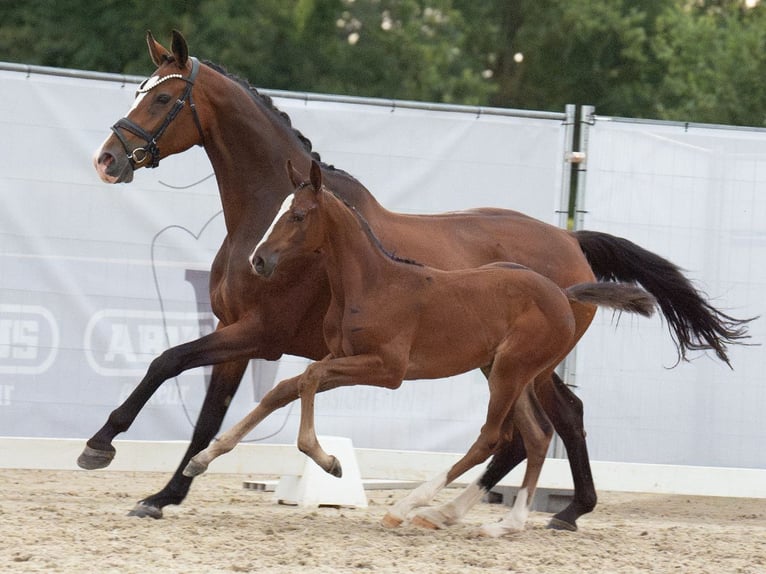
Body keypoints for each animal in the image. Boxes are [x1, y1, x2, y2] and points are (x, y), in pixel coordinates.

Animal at [183, 160, 656, 536]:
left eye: (298, 215)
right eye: (280, 211)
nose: (258, 261)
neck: (372, 282)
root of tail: (563, 292)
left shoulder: (387, 369)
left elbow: (308, 380)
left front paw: (329, 460)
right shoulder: (341, 356)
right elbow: (286, 389)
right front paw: (202, 458)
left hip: (510, 371)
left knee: (493, 437)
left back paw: (414, 508)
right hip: (508, 372)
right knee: (535, 435)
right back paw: (504, 523)